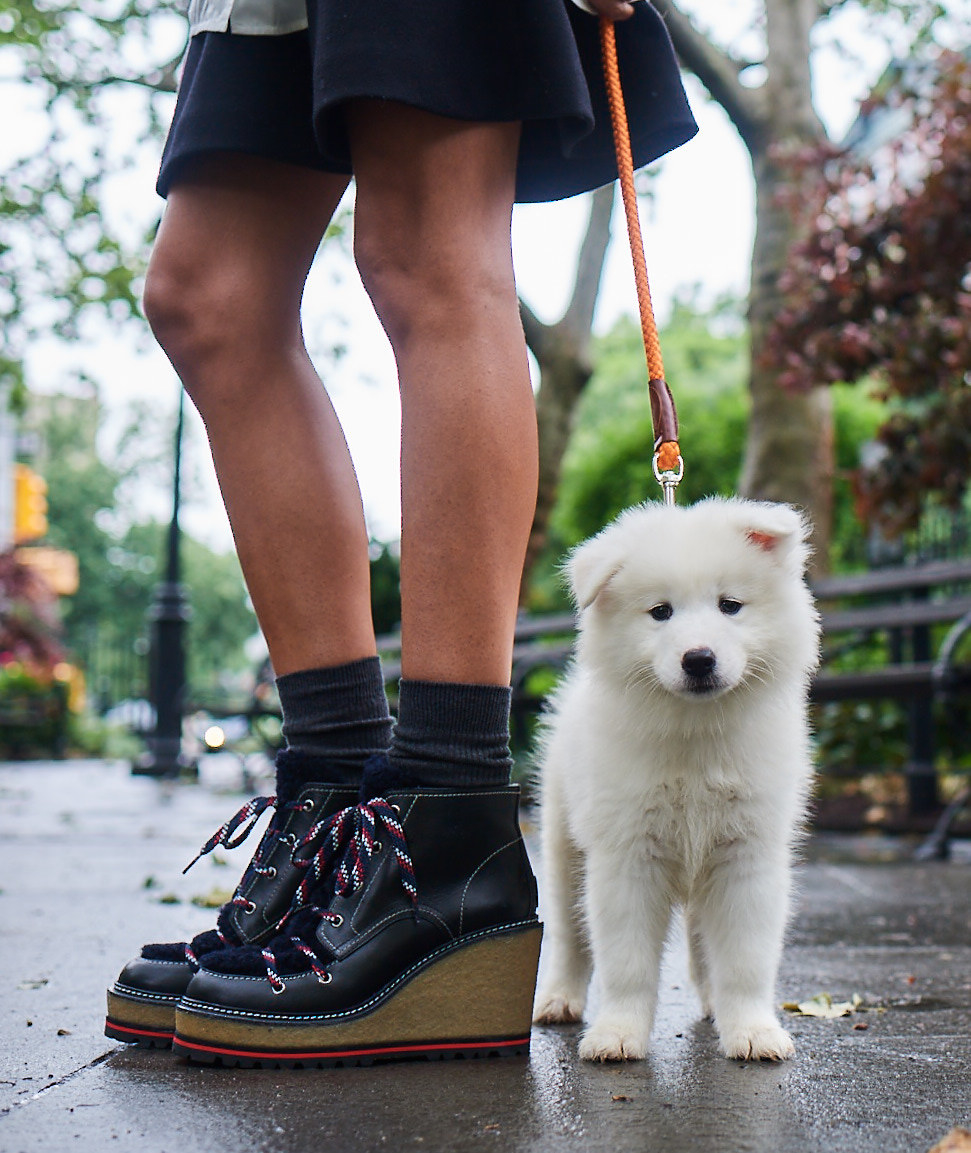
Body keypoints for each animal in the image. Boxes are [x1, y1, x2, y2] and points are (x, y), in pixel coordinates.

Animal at [530, 495, 816, 1060]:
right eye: (660, 612)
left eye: (730, 605)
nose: (699, 659)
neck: (695, 732)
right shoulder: (626, 855)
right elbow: (626, 963)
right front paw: (617, 1034)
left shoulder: (746, 854)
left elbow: (745, 960)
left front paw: (752, 1030)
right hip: (564, 845)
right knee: (571, 936)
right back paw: (559, 1001)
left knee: (704, 947)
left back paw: (712, 1005)